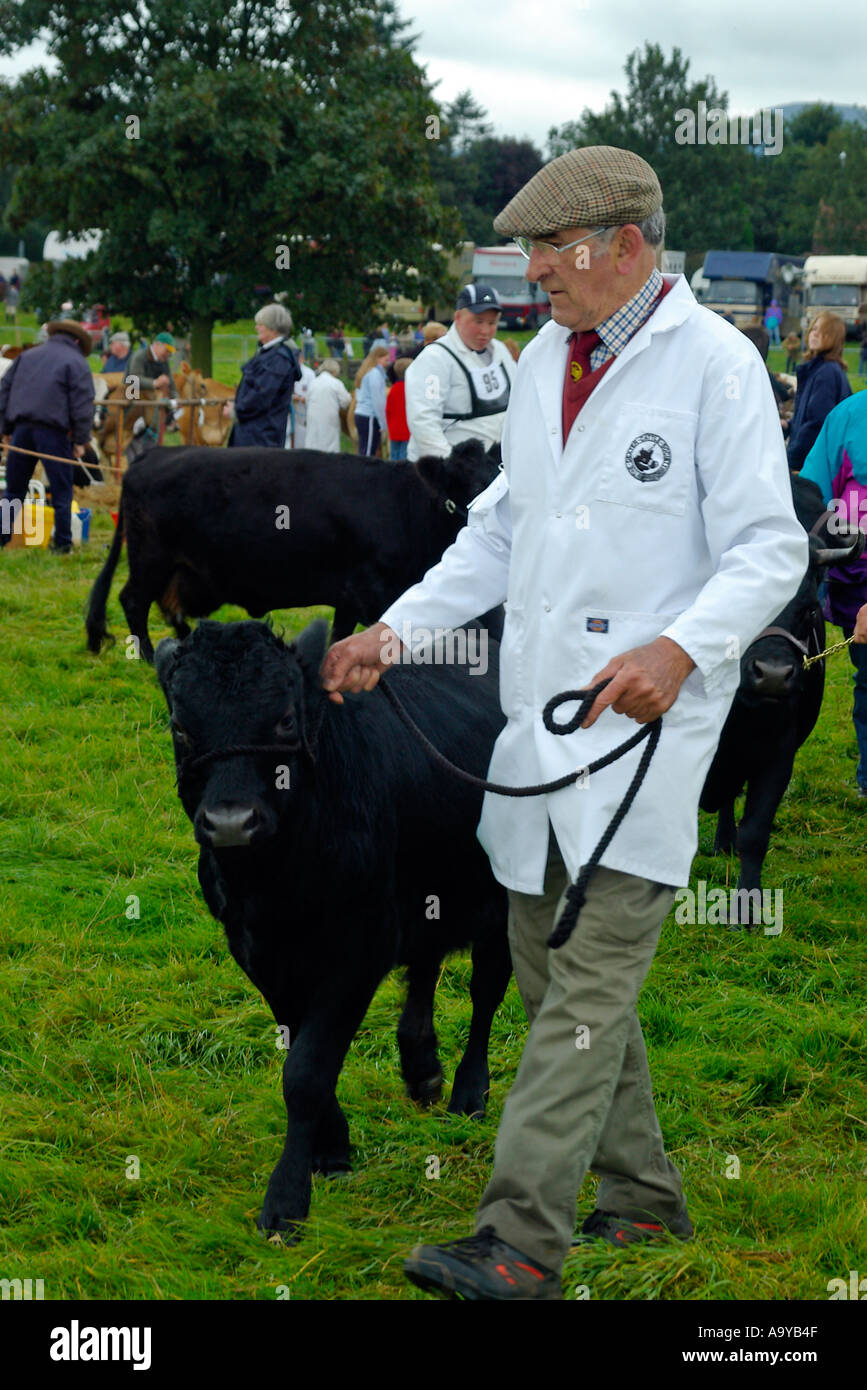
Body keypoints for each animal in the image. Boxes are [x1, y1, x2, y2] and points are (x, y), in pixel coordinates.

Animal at [86, 442, 500, 664]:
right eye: (456, 493)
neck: (405, 505)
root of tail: (154, 453)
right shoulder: (374, 591)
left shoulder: (350, 597)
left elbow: (340, 636)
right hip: (150, 558)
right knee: (133, 600)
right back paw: (147, 656)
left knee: (169, 605)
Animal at [154, 619, 508, 1239]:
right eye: (181, 727)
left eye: (285, 720)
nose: (230, 823)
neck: (273, 879)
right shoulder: (259, 951)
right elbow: (299, 1046)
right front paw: (331, 1148)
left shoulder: (359, 947)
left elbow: (306, 1072)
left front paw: (287, 1198)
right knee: (426, 963)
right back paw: (422, 1068)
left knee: (487, 987)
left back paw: (469, 1091)